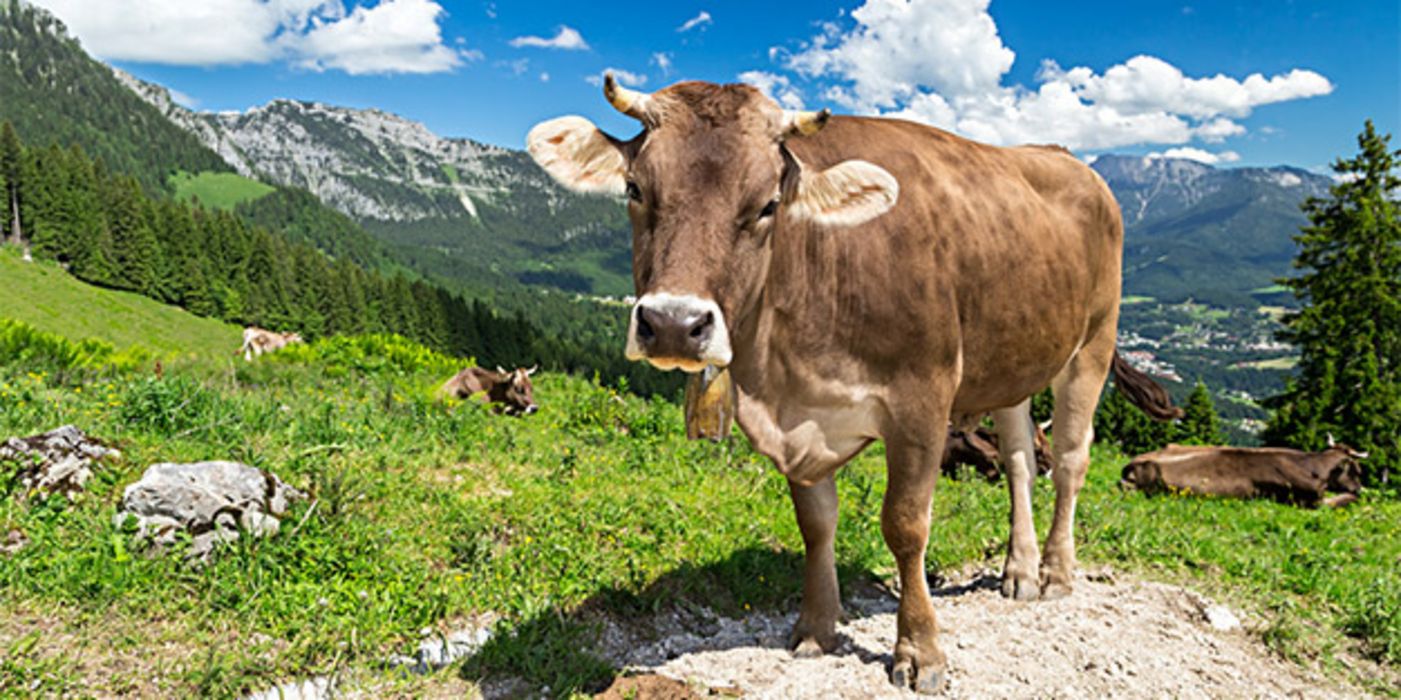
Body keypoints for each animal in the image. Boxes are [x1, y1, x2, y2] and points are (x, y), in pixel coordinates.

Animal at [529, 75, 1176, 688]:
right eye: (635, 190)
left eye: (767, 204)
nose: (671, 325)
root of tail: (1063, 155)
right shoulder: (797, 422)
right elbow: (816, 524)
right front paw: (817, 629)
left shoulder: (922, 399)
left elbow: (906, 525)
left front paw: (919, 651)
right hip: (1012, 360)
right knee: (1019, 458)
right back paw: (1017, 570)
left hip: (1092, 342)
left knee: (1068, 458)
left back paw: (1056, 572)